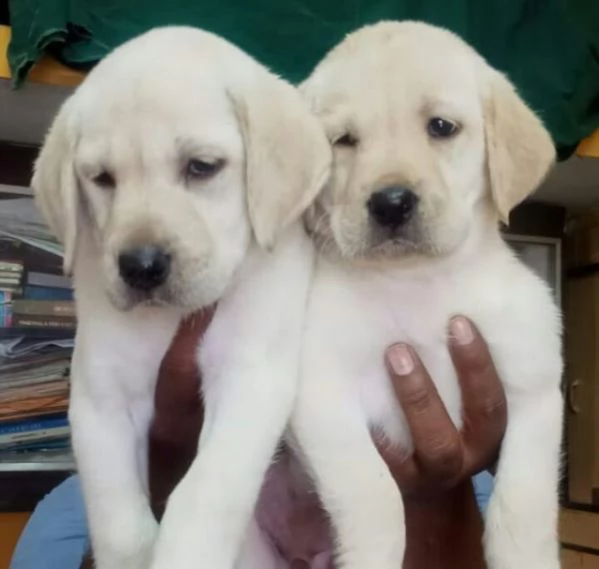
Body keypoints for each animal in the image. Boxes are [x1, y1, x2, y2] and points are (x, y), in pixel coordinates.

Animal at [32, 27, 330, 569]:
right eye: (101, 178)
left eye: (202, 167)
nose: (141, 266)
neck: (173, 317)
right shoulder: (101, 397)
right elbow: (121, 524)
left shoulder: (249, 376)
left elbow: (204, 495)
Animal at [292, 20, 564, 568]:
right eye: (343, 141)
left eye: (441, 127)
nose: (391, 203)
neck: (418, 281)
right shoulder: (322, 391)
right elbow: (374, 495)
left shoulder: (535, 390)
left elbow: (521, 507)